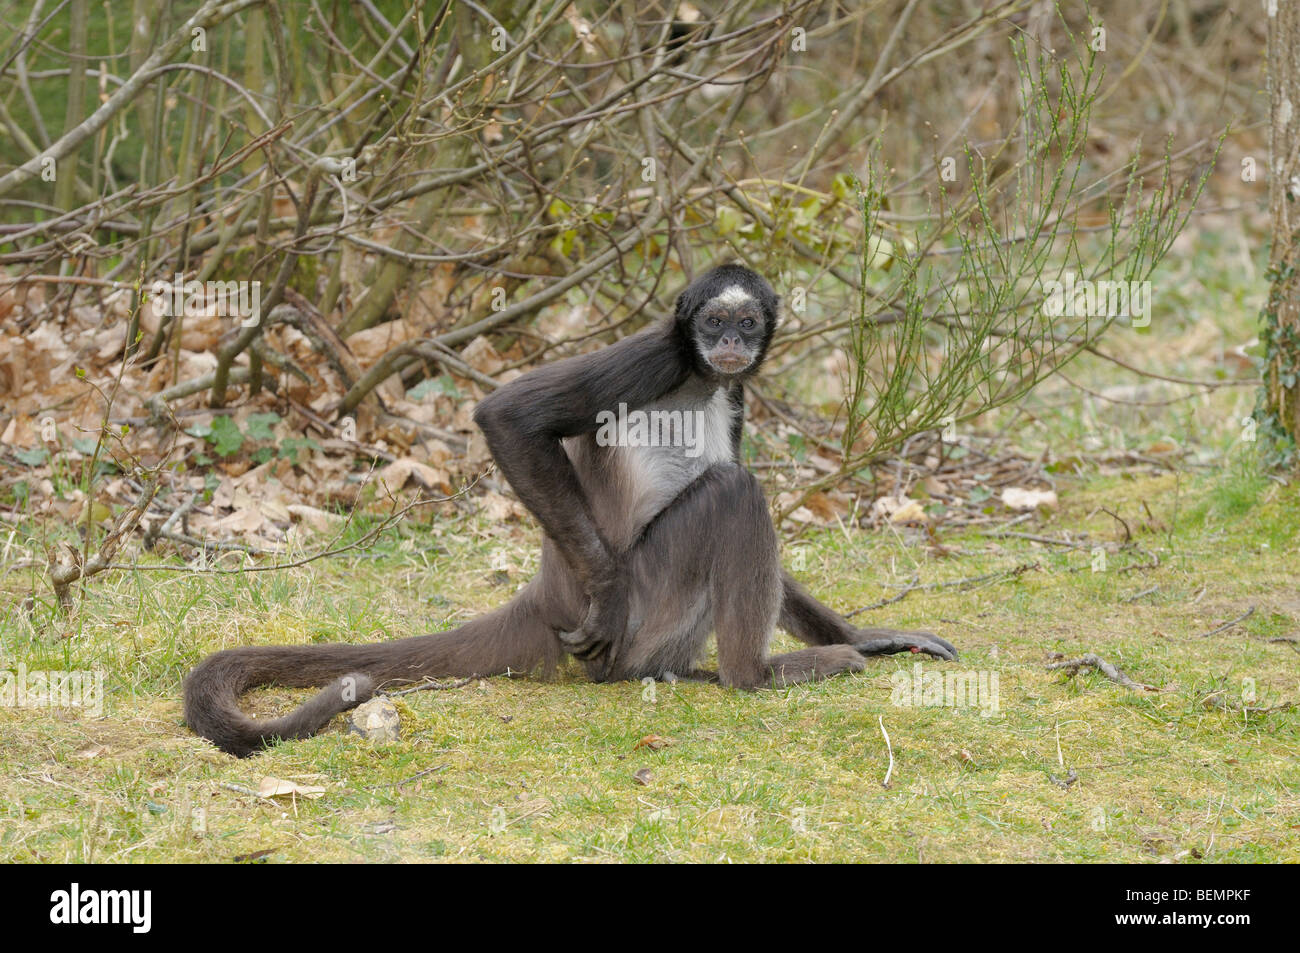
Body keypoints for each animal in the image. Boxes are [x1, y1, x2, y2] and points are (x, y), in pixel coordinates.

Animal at [183, 263, 956, 754]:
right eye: (712, 322)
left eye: (745, 320)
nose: (732, 343)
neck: (700, 377)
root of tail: (548, 594)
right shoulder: (655, 356)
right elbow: (507, 416)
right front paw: (608, 596)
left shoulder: (734, 392)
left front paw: (872, 635)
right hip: (652, 603)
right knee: (734, 492)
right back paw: (753, 674)